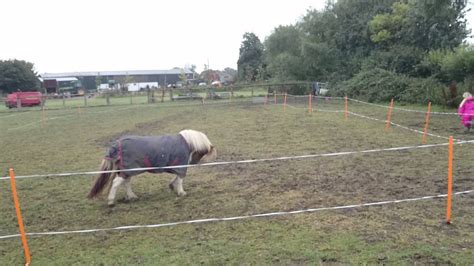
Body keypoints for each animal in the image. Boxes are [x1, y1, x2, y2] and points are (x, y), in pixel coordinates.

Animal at [87, 129, 217, 206]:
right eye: (202, 152)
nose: (193, 162)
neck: (186, 142)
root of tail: (117, 144)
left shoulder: (177, 166)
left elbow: (176, 177)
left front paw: (172, 186)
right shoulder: (181, 166)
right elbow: (180, 179)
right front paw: (181, 192)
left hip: (127, 170)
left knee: (126, 182)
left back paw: (132, 196)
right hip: (129, 170)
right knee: (116, 183)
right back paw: (111, 201)